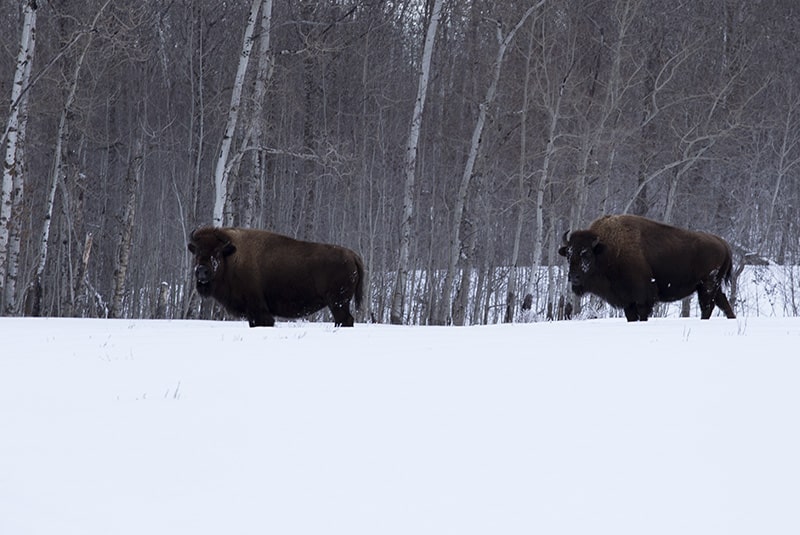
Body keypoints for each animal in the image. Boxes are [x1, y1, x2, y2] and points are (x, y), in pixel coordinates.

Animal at [186, 226, 364, 326]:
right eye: (197, 251)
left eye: (217, 252)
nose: (201, 271)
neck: (232, 256)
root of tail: (352, 255)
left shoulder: (258, 310)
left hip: (338, 302)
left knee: (345, 320)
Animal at [556, 215, 736, 322]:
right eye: (568, 254)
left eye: (586, 254)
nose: (573, 277)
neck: (607, 250)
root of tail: (723, 243)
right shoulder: (627, 301)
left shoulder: (642, 299)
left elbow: (643, 314)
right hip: (711, 287)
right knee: (722, 302)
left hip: (707, 285)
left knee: (708, 306)